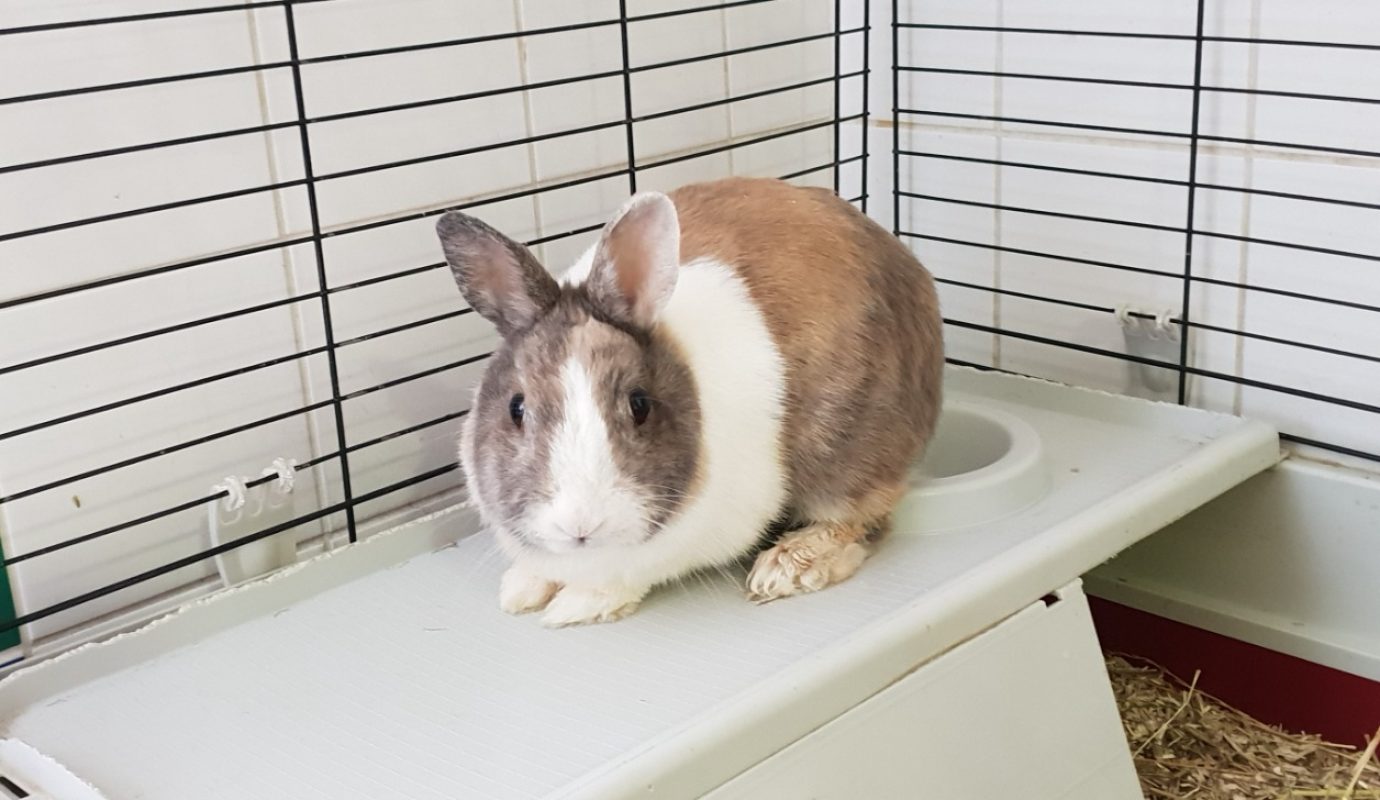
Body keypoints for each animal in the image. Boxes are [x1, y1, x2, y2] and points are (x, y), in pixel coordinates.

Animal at [436, 176, 943, 627]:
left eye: (640, 405)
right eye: (516, 409)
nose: (581, 526)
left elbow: (621, 579)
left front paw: (577, 607)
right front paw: (520, 590)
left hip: (852, 450)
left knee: (862, 521)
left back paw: (783, 570)